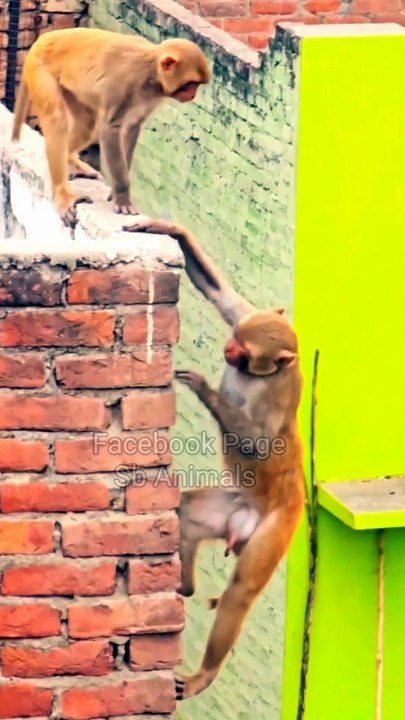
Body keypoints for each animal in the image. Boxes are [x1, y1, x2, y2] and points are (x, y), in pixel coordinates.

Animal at [11, 28, 210, 228]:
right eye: (191, 84)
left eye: (197, 85)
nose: (193, 95)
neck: (151, 71)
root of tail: (42, 40)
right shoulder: (125, 81)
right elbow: (111, 128)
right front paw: (122, 196)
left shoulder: (150, 97)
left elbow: (132, 127)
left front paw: (115, 192)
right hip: (40, 68)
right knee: (57, 119)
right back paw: (62, 193)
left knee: (87, 125)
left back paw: (71, 161)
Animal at [123, 216, 305, 701]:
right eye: (236, 338)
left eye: (242, 350)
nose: (226, 349)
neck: (261, 375)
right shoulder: (246, 314)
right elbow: (220, 293)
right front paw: (168, 229)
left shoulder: (280, 394)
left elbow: (262, 445)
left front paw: (204, 385)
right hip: (232, 507)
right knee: (189, 513)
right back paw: (184, 584)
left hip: (274, 530)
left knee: (240, 592)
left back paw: (205, 673)